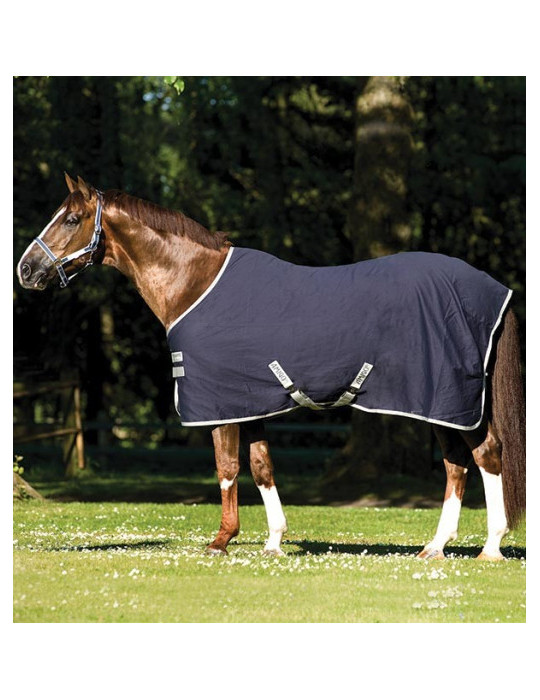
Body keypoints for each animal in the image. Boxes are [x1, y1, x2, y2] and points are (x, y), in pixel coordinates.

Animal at [17, 174, 525, 561]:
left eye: (71, 219)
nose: (26, 269)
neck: (195, 283)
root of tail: (492, 289)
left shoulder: (220, 404)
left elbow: (226, 468)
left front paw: (221, 540)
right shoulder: (251, 401)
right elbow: (262, 466)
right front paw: (274, 541)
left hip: (448, 400)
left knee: (486, 456)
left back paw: (490, 548)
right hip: (440, 406)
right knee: (457, 465)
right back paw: (435, 547)